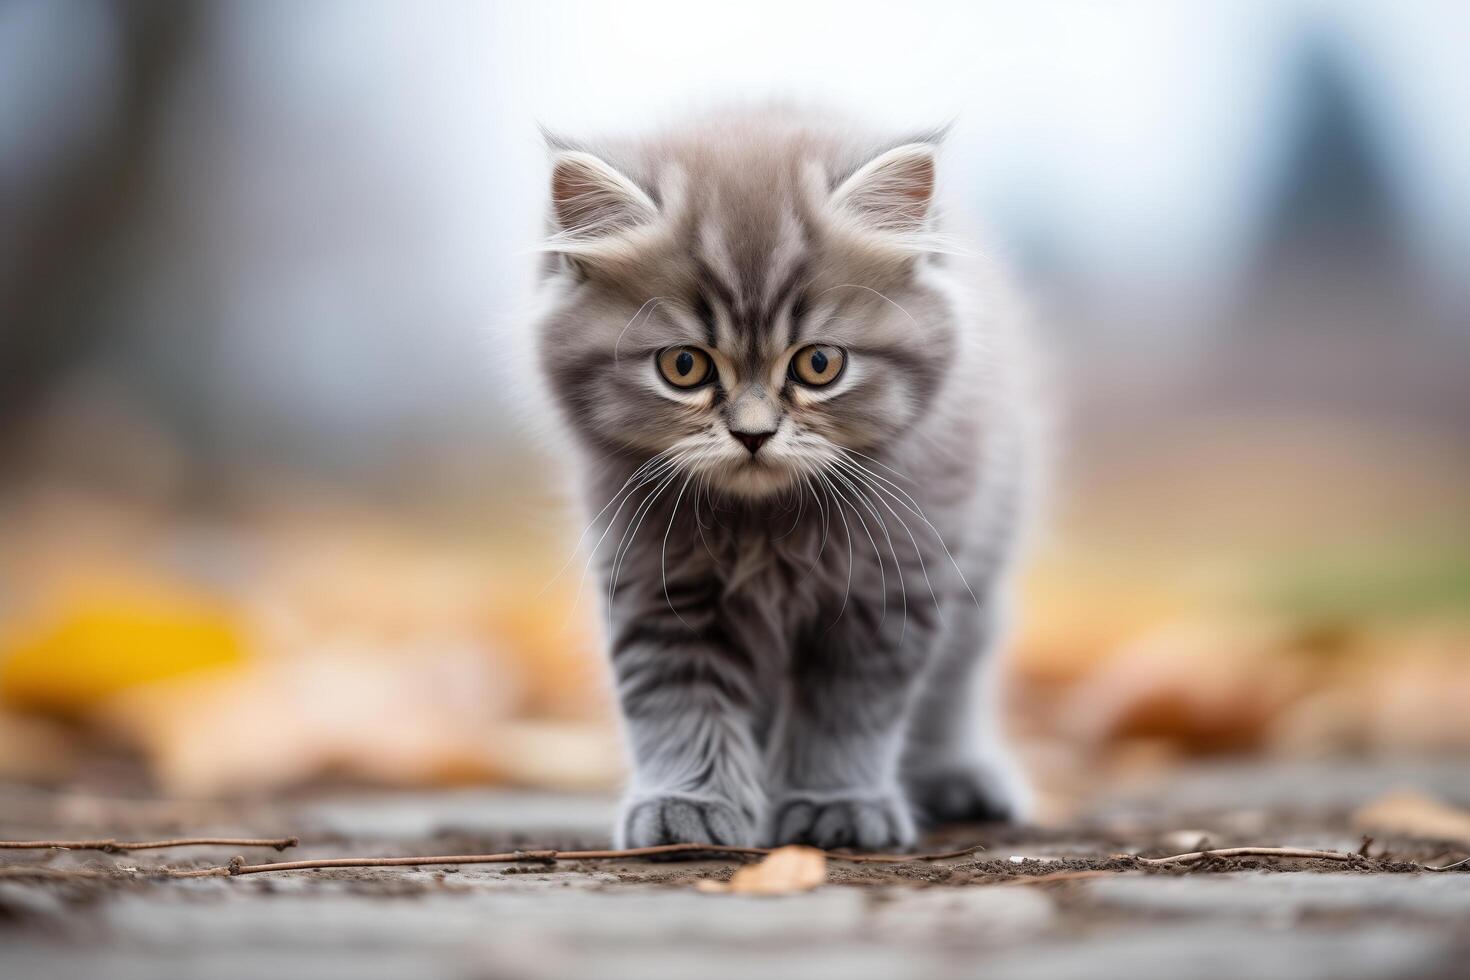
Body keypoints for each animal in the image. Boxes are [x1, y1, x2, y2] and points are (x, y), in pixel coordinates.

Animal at [538, 105, 1034, 846]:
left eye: (819, 365)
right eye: (683, 366)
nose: (753, 434)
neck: (766, 528)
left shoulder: (891, 585)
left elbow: (848, 712)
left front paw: (837, 803)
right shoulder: (658, 583)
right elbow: (676, 698)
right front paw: (691, 803)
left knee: (954, 684)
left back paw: (958, 777)